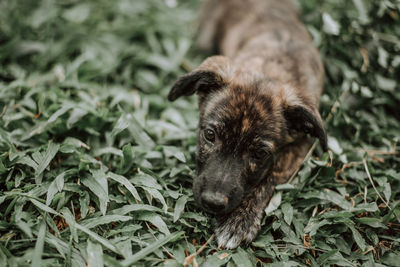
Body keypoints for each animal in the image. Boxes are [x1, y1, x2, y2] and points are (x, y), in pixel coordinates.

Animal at [167, 0, 326, 250]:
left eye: (259, 153)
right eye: (210, 135)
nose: (212, 203)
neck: (270, 68)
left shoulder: (302, 145)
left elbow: (270, 177)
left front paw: (239, 220)